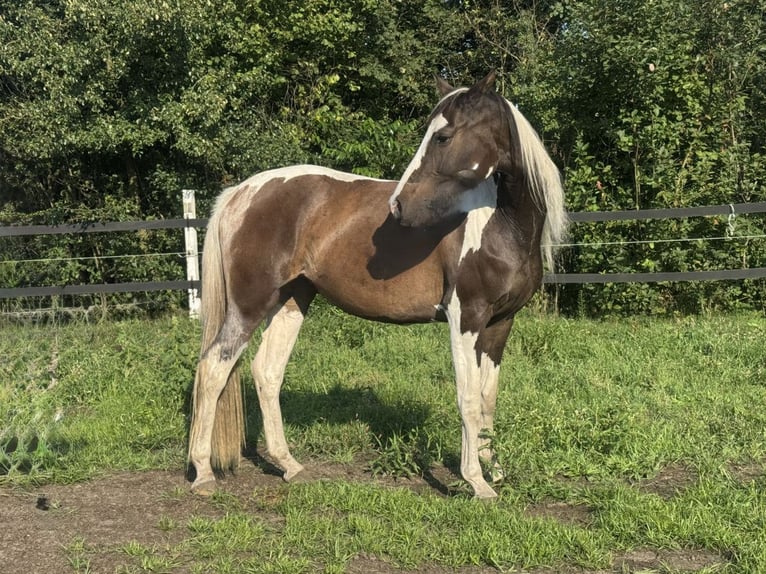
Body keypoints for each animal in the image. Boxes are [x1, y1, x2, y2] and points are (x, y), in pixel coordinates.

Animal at [188, 71, 567, 499]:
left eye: (443, 137)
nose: (399, 205)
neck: (501, 223)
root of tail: (240, 193)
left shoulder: (501, 323)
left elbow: (488, 397)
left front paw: (494, 469)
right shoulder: (465, 318)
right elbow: (467, 398)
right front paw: (476, 482)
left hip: (292, 300)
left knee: (267, 373)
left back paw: (289, 466)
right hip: (249, 305)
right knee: (213, 369)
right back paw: (203, 473)